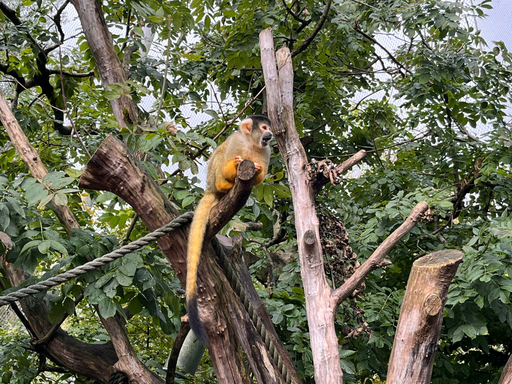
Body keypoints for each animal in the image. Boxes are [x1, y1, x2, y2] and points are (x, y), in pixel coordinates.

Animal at [185, 115, 272, 344]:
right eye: (264, 128)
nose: (270, 134)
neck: (251, 144)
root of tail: (209, 190)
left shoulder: (266, 151)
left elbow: (260, 176)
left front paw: (258, 170)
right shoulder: (236, 142)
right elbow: (228, 157)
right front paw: (234, 165)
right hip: (212, 180)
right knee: (220, 155)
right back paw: (224, 186)